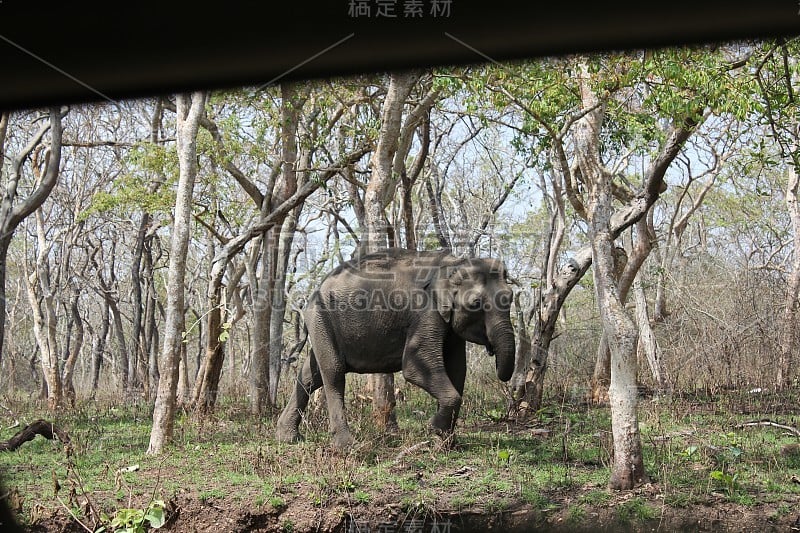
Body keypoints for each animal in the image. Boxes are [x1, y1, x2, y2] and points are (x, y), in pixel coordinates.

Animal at [276, 247, 516, 446]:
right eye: (475, 304)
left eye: (511, 297)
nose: (492, 351)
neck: (455, 262)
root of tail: (316, 289)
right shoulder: (426, 311)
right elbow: (415, 365)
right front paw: (435, 429)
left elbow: (457, 370)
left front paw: (446, 441)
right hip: (321, 317)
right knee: (333, 372)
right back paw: (346, 445)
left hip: (322, 325)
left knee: (310, 376)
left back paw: (289, 437)